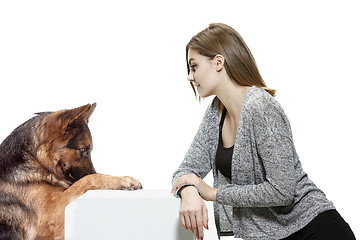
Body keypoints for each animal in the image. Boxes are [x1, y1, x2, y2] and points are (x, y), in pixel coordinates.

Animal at [0, 103, 143, 240]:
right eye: (83, 149)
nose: (91, 171)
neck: (36, 160)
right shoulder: (49, 215)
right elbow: (88, 179)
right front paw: (124, 180)